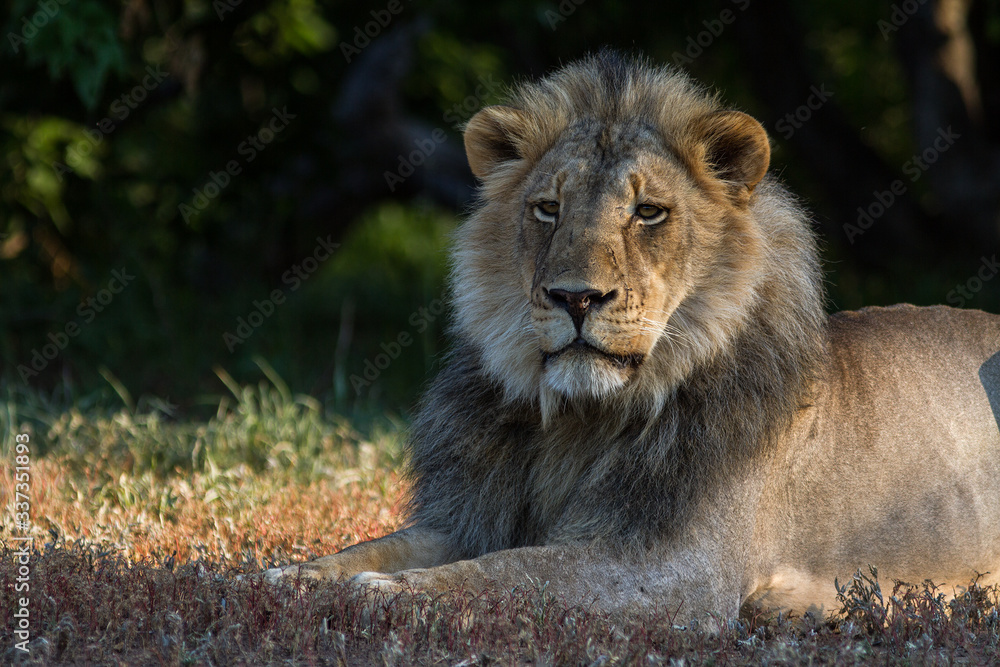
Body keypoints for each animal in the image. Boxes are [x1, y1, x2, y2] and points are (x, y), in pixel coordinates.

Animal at [265, 52, 1000, 623]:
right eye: (547, 208)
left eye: (648, 212)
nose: (575, 297)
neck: (579, 422)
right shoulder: (470, 517)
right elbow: (376, 546)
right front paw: (282, 578)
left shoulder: (672, 567)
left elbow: (509, 571)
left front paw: (381, 594)